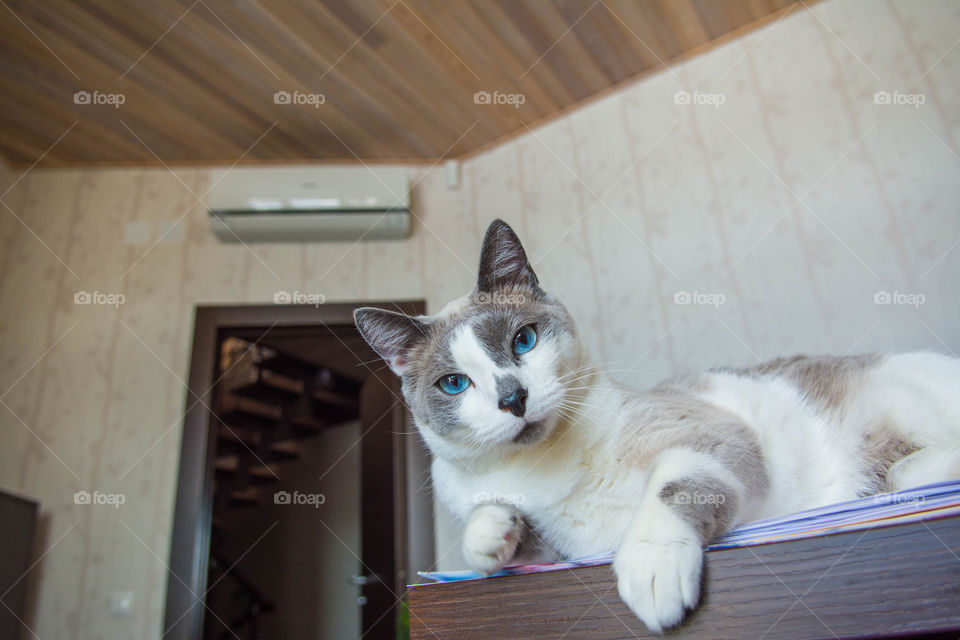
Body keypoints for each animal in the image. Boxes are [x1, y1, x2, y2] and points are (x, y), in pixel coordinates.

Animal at [352, 219, 960, 632]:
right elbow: (497, 530)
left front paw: (650, 567)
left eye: (523, 340)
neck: (542, 468)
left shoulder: (709, 435)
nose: (512, 398)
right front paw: (490, 538)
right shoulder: (564, 548)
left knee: (910, 468)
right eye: (455, 384)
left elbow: (671, 487)